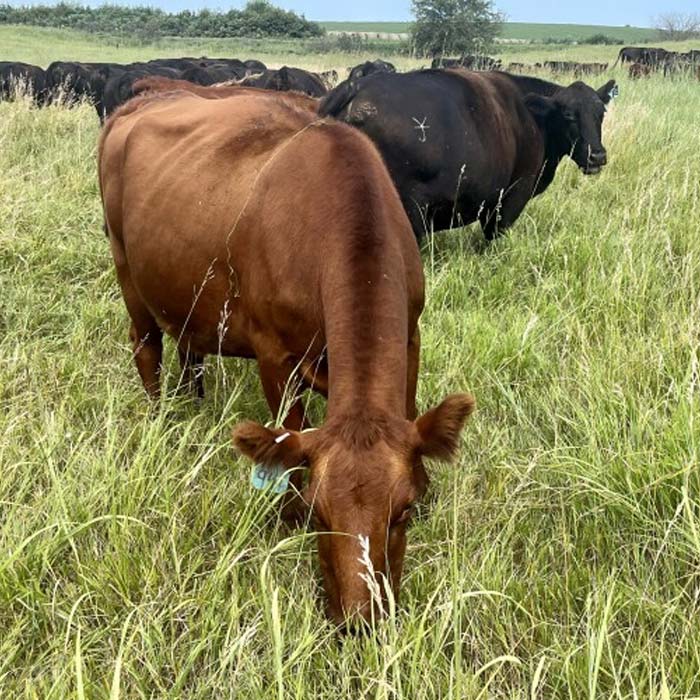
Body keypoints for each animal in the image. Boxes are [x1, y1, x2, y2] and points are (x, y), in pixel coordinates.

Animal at [99, 79, 474, 628]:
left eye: (401, 511)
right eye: (320, 513)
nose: (359, 621)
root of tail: (144, 96)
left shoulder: (411, 336)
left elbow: (407, 410)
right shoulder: (276, 356)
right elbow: (288, 438)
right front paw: (286, 517)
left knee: (189, 350)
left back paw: (192, 403)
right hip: (127, 268)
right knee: (147, 347)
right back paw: (159, 418)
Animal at [319, 69, 616, 241]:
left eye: (601, 113)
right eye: (568, 115)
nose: (597, 156)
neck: (533, 118)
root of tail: (358, 87)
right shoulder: (512, 196)